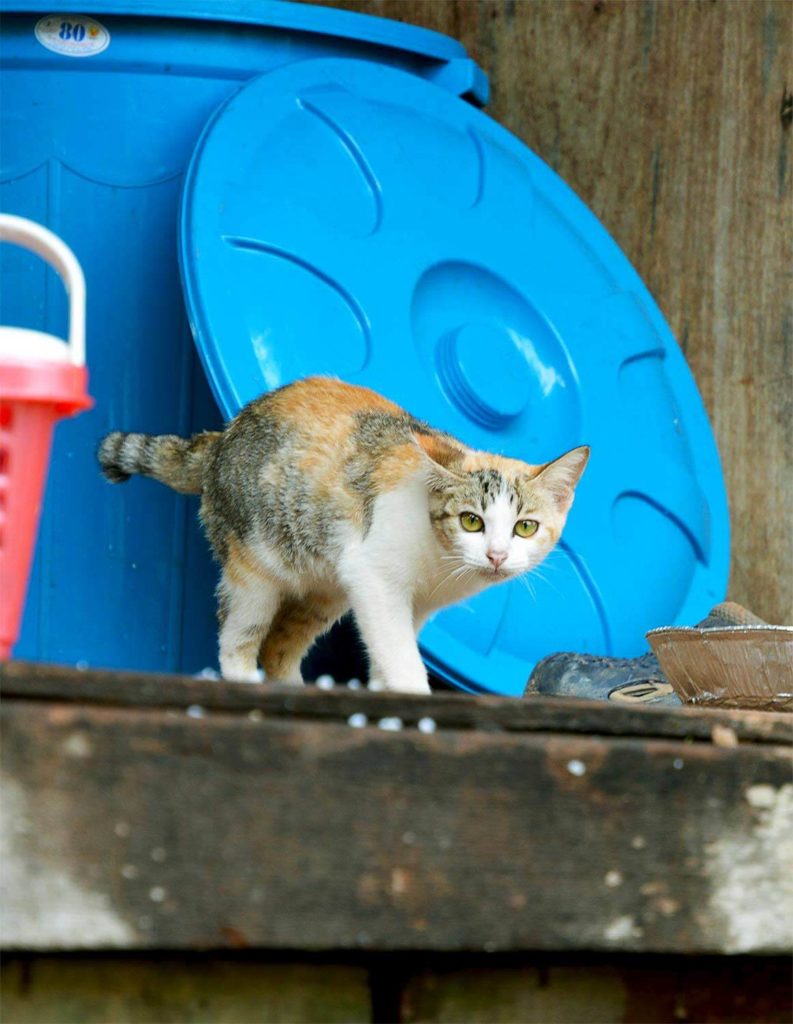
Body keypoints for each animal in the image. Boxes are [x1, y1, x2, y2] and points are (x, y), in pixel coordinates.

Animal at [97, 376, 590, 696]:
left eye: (525, 527)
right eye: (471, 521)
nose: (496, 555)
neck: (441, 565)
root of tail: (220, 438)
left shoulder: (412, 606)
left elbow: (386, 657)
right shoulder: (376, 580)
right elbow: (401, 658)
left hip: (325, 589)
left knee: (278, 648)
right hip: (254, 568)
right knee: (237, 639)